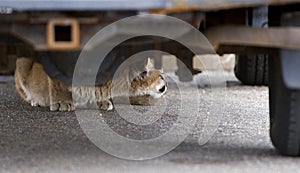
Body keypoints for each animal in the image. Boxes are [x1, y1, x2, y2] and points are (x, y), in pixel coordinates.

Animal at [14, 56, 166, 111]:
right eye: (161, 76)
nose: (167, 85)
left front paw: (102, 101)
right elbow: (57, 84)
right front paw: (62, 102)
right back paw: (35, 100)